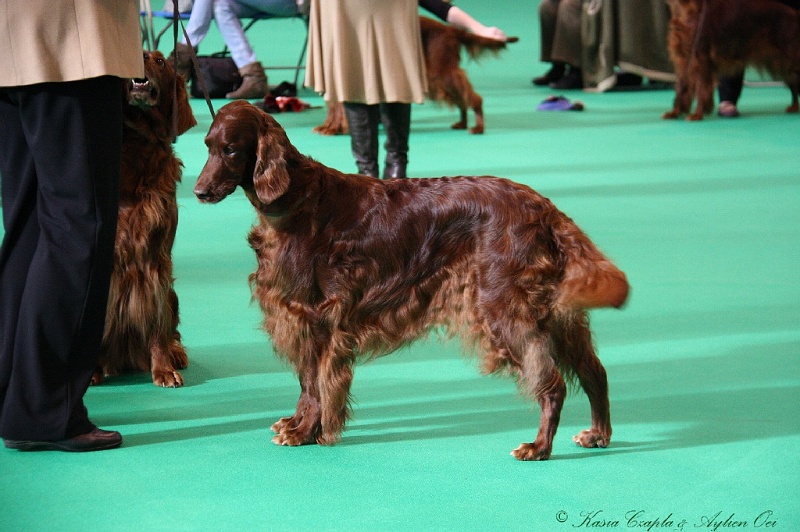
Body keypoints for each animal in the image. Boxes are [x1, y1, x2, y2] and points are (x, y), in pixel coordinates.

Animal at [93, 51, 197, 386]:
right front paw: (93, 370)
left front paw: (163, 367)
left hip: (173, 293)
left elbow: (156, 322)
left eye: (161, 61)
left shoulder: (156, 259)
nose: (139, 57)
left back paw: (176, 352)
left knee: (171, 327)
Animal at [195, 101, 632, 462]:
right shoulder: (300, 317)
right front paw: (297, 424)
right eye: (207, 146)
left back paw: (539, 447)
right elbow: (307, 381)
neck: (295, 198)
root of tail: (544, 208)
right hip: (552, 312)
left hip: (504, 307)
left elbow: (316, 383)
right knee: (595, 370)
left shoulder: (317, 317)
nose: (199, 191)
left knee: (552, 382)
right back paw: (597, 434)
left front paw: (305, 432)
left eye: (231, 149)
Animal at [312, 17, 520, 136]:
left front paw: (334, 128)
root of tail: (450, 29)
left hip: (440, 72)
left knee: (472, 97)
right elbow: (333, 105)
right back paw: (462, 123)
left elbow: (338, 105)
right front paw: (329, 127)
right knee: (461, 97)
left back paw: (478, 126)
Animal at [664, 0, 800, 120]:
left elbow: (701, 90)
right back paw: (794, 107)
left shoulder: (702, 58)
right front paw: (675, 112)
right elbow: (681, 88)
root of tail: (795, 14)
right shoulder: (683, 60)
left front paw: (697, 115)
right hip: (782, 64)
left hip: (790, 59)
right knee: (793, 84)